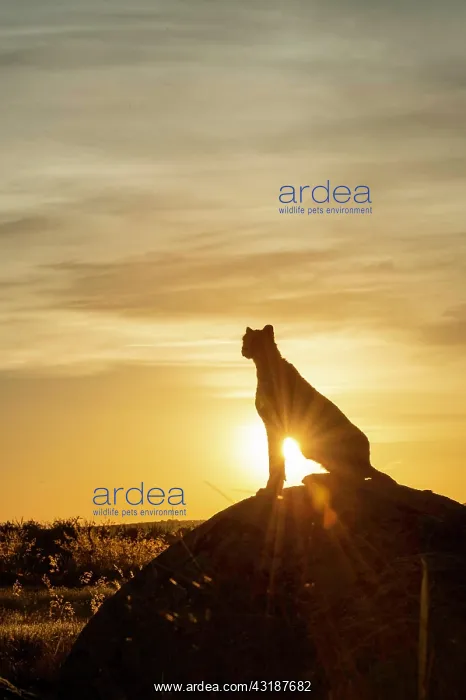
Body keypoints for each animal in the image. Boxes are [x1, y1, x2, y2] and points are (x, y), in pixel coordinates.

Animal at [242, 324, 396, 493]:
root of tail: (367, 458)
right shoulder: (269, 425)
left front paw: (272, 487)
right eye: (245, 338)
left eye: (255, 339)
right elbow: (273, 456)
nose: (244, 348)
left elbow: (276, 458)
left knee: (354, 477)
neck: (263, 367)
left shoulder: (277, 425)